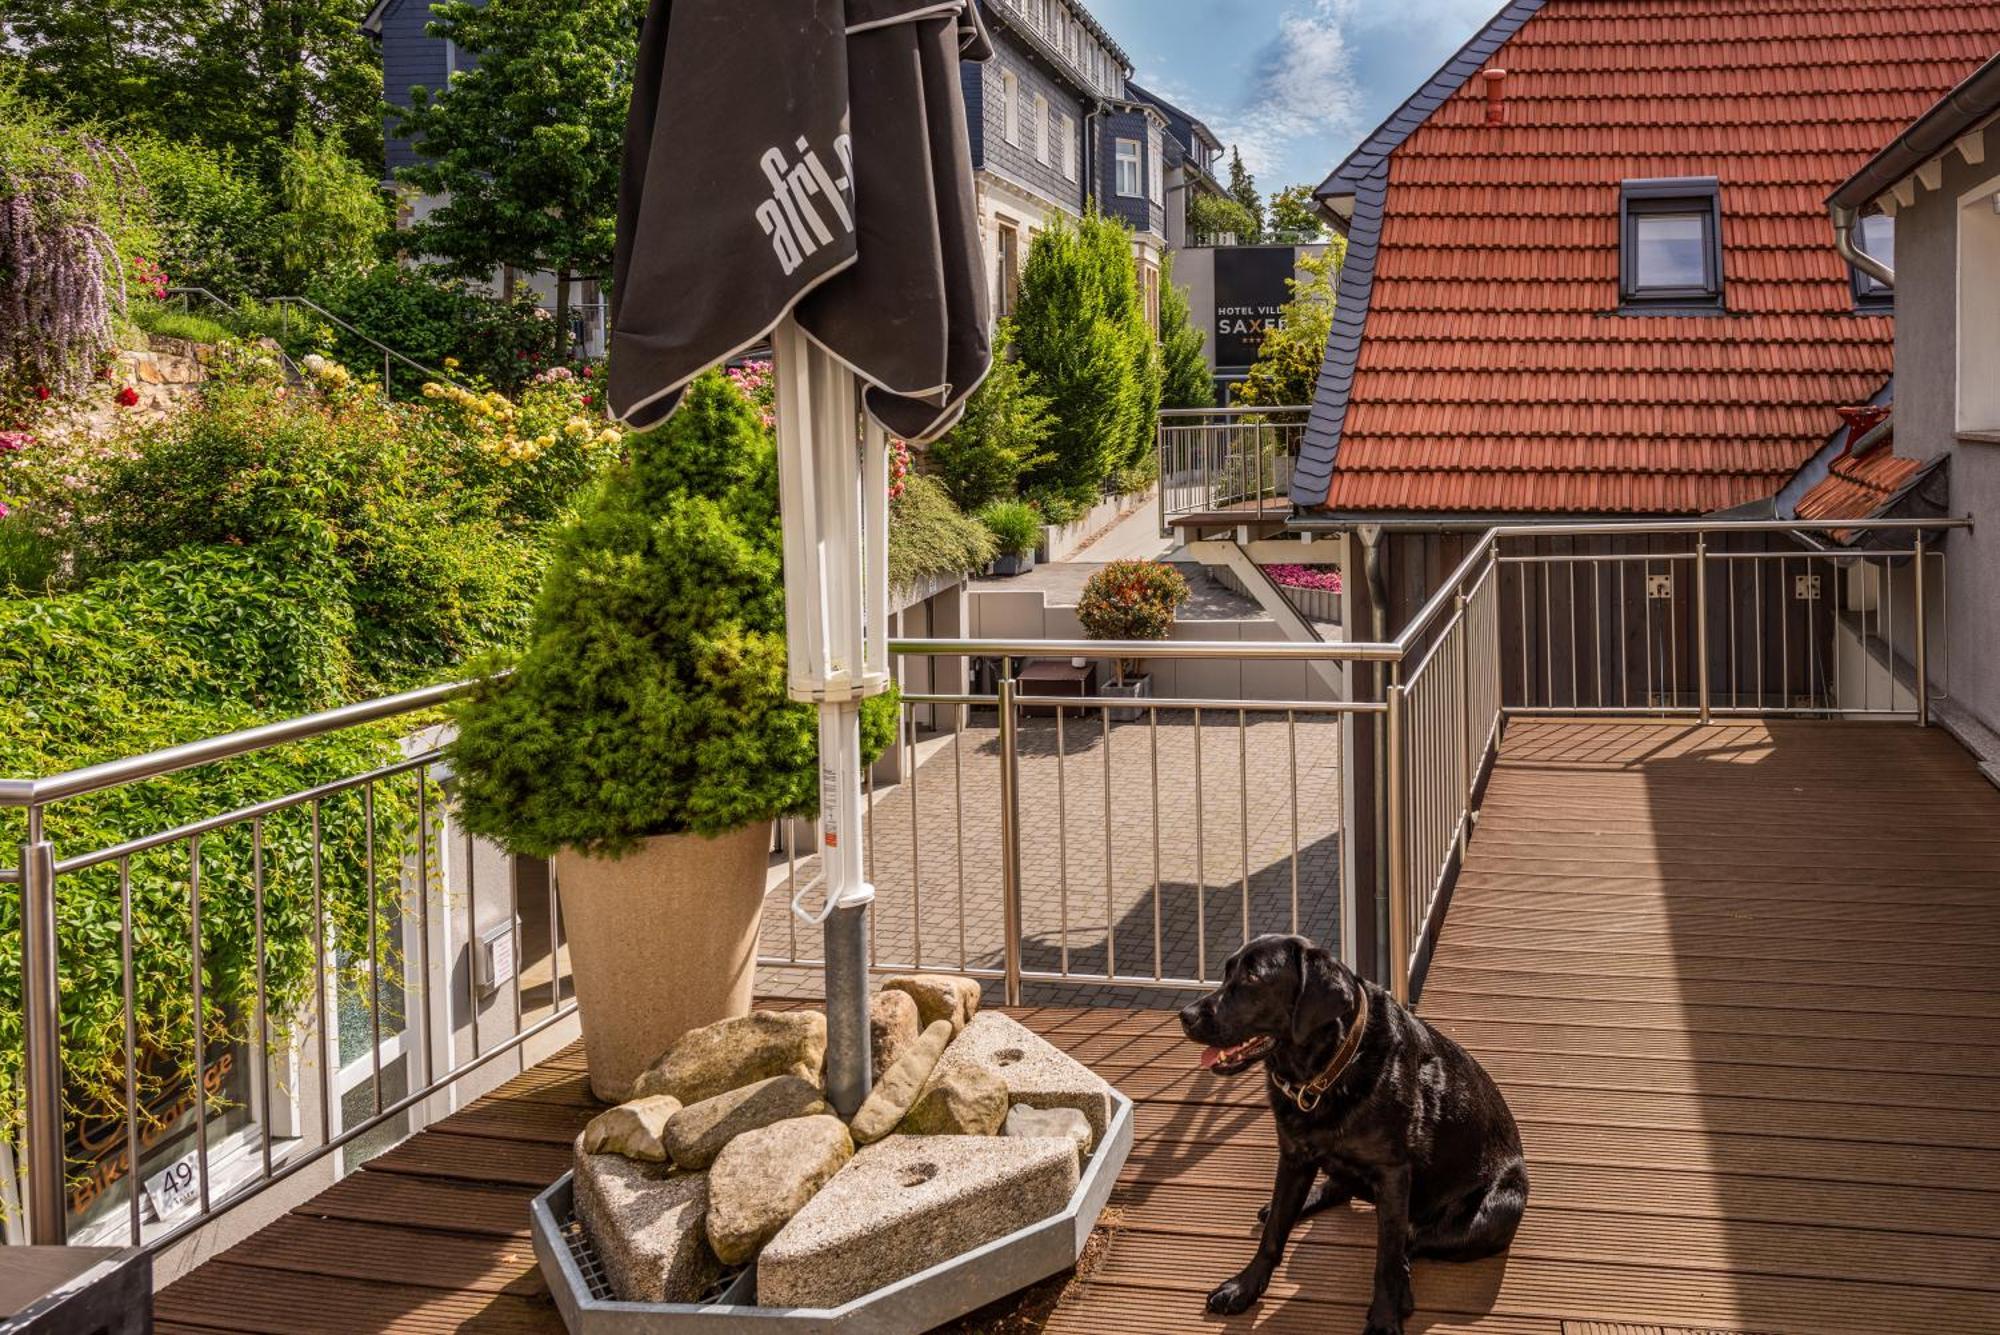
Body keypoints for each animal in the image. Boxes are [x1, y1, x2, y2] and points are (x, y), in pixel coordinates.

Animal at [1176, 935, 1520, 1327]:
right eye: (1227, 972)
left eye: (1253, 977)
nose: (1185, 1015)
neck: (1326, 1073)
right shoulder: (1293, 1156)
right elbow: (1274, 1232)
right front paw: (1243, 1288)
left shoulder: (1393, 1174)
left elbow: (1386, 1258)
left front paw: (1385, 1316)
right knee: (1340, 1191)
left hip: (1498, 1209)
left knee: (1412, 1240)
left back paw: (1403, 1290)